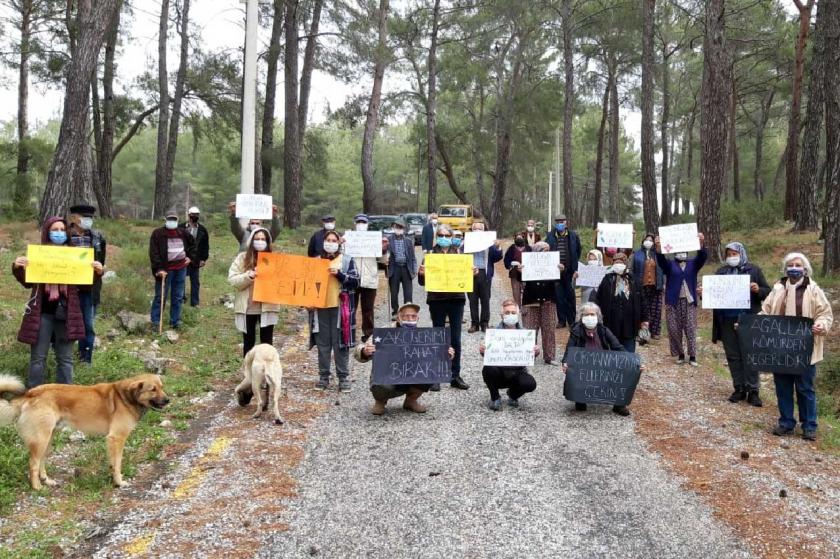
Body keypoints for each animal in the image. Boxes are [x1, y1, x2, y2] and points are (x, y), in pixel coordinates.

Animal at [0, 376, 169, 490]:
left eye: (162, 387)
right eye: (152, 389)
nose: (168, 400)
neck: (125, 397)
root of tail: (30, 393)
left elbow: (113, 463)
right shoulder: (117, 438)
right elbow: (118, 464)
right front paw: (119, 482)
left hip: (48, 438)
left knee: (41, 461)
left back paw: (46, 480)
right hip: (41, 439)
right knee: (33, 463)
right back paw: (37, 487)